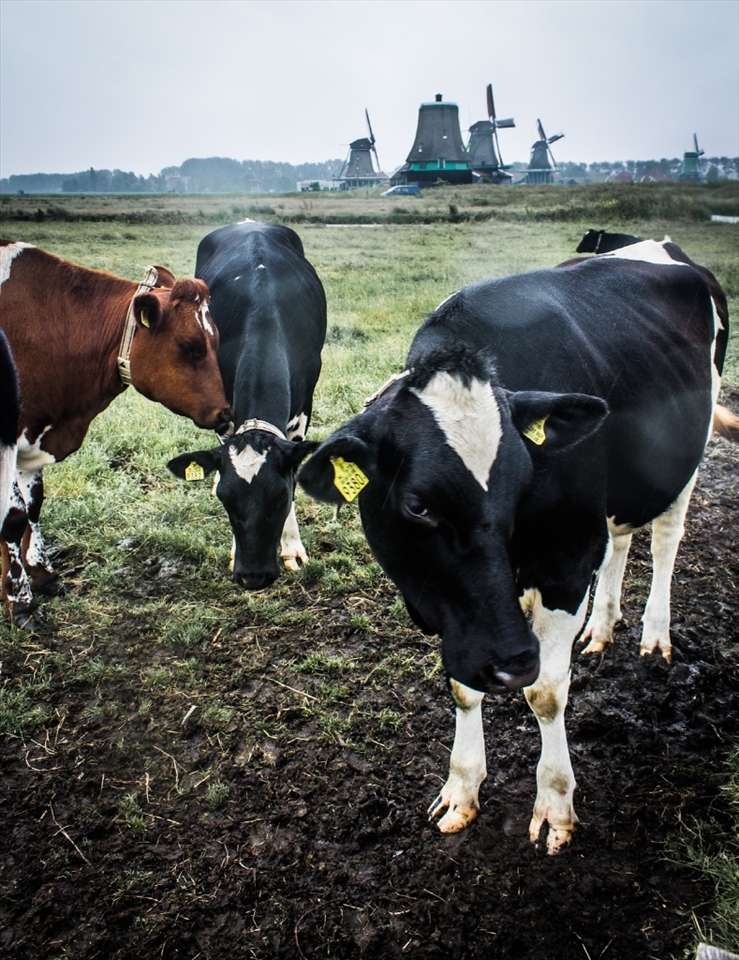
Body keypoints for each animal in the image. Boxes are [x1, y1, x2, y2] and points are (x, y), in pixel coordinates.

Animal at [0, 240, 231, 625]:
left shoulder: (32, 440)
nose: (226, 414)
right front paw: (20, 600)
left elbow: (32, 507)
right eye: (189, 346)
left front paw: (42, 573)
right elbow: (13, 518)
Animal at [298, 239, 728, 853]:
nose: (511, 659)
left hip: (684, 455)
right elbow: (462, 686)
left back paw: (655, 635)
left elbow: (546, 692)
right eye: (417, 505)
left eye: (522, 479)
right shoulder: (456, 609)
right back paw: (602, 627)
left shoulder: (567, 560)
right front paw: (461, 788)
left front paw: (555, 804)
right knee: (621, 541)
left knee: (667, 538)